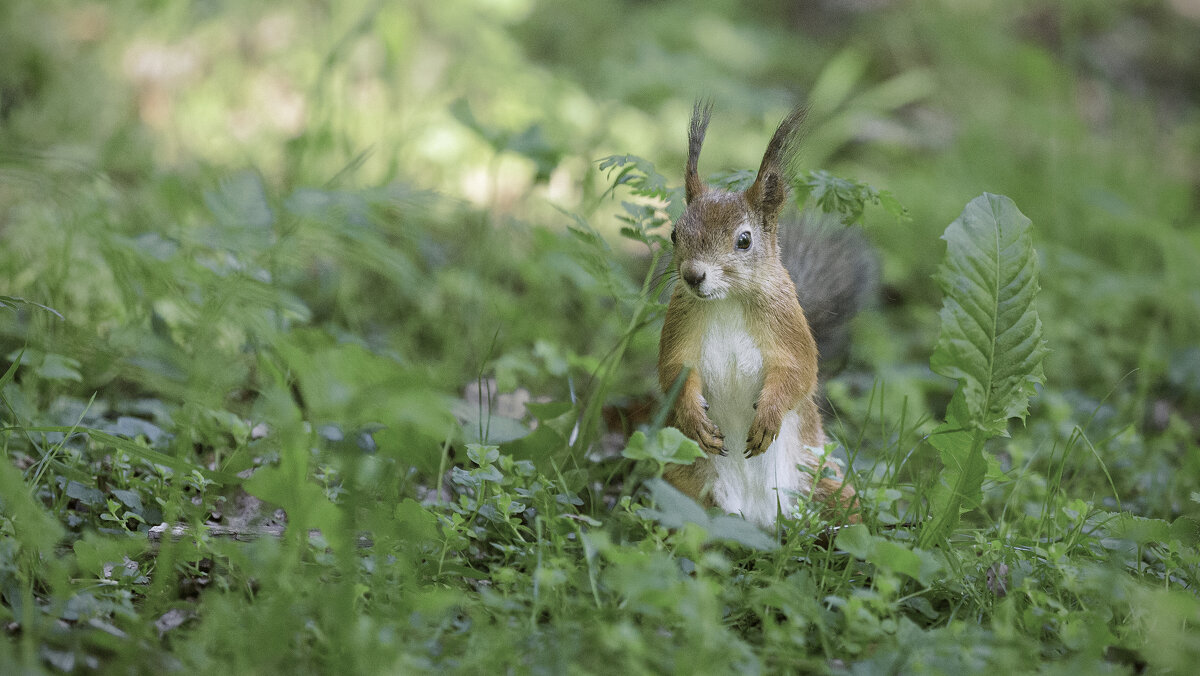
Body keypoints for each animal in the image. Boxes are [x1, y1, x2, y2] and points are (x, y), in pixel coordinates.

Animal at [657, 104, 873, 528]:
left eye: (744, 240)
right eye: (675, 233)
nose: (693, 275)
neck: (726, 300)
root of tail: (760, 517)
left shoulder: (786, 323)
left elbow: (800, 372)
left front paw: (769, 416)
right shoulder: (680, 320)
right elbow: (672, 370)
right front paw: (693, 417)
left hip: (824, 483)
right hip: (681, 482)